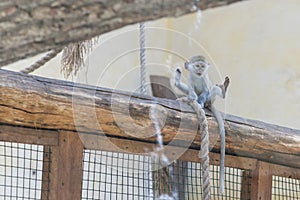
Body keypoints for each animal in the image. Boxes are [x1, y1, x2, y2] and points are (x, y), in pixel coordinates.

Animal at [173, 55, 230, 194]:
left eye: (203, 66)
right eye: (197, 66)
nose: (200, 70)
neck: (198, 76)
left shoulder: (204, 79)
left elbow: (205, 90)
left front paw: (200, 101)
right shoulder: (190, 77)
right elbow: (191, 89)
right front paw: (193, 97)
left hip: (211, 99)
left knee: (212, 90)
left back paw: (220, 92)